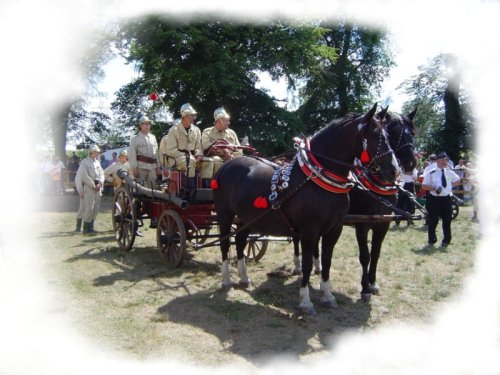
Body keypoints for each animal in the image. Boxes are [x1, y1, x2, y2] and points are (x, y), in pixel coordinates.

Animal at [211, 104, 398, 316]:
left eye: (387, 135)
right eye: (375, 136)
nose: (394, 171)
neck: (316, 180)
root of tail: (226, 165)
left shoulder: (334, 230)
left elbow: (327, 261)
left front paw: (328, 297)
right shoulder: (310, 231)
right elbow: (308, 264)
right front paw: (306, 302)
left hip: (245, 219)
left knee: (241, 242)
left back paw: (244, 278)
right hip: (225, 215)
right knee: (225, 244)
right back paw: (226, 280)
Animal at [292, 108, 420, 302]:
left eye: (412, 132)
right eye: (393, 131)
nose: (409, 163)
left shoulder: (383, 223)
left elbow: (376, 254)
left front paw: (373, 283)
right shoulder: (362, 224)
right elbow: (365, 256)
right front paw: (365, 288)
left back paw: (318, 266)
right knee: (296, 238)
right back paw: (298, 266)